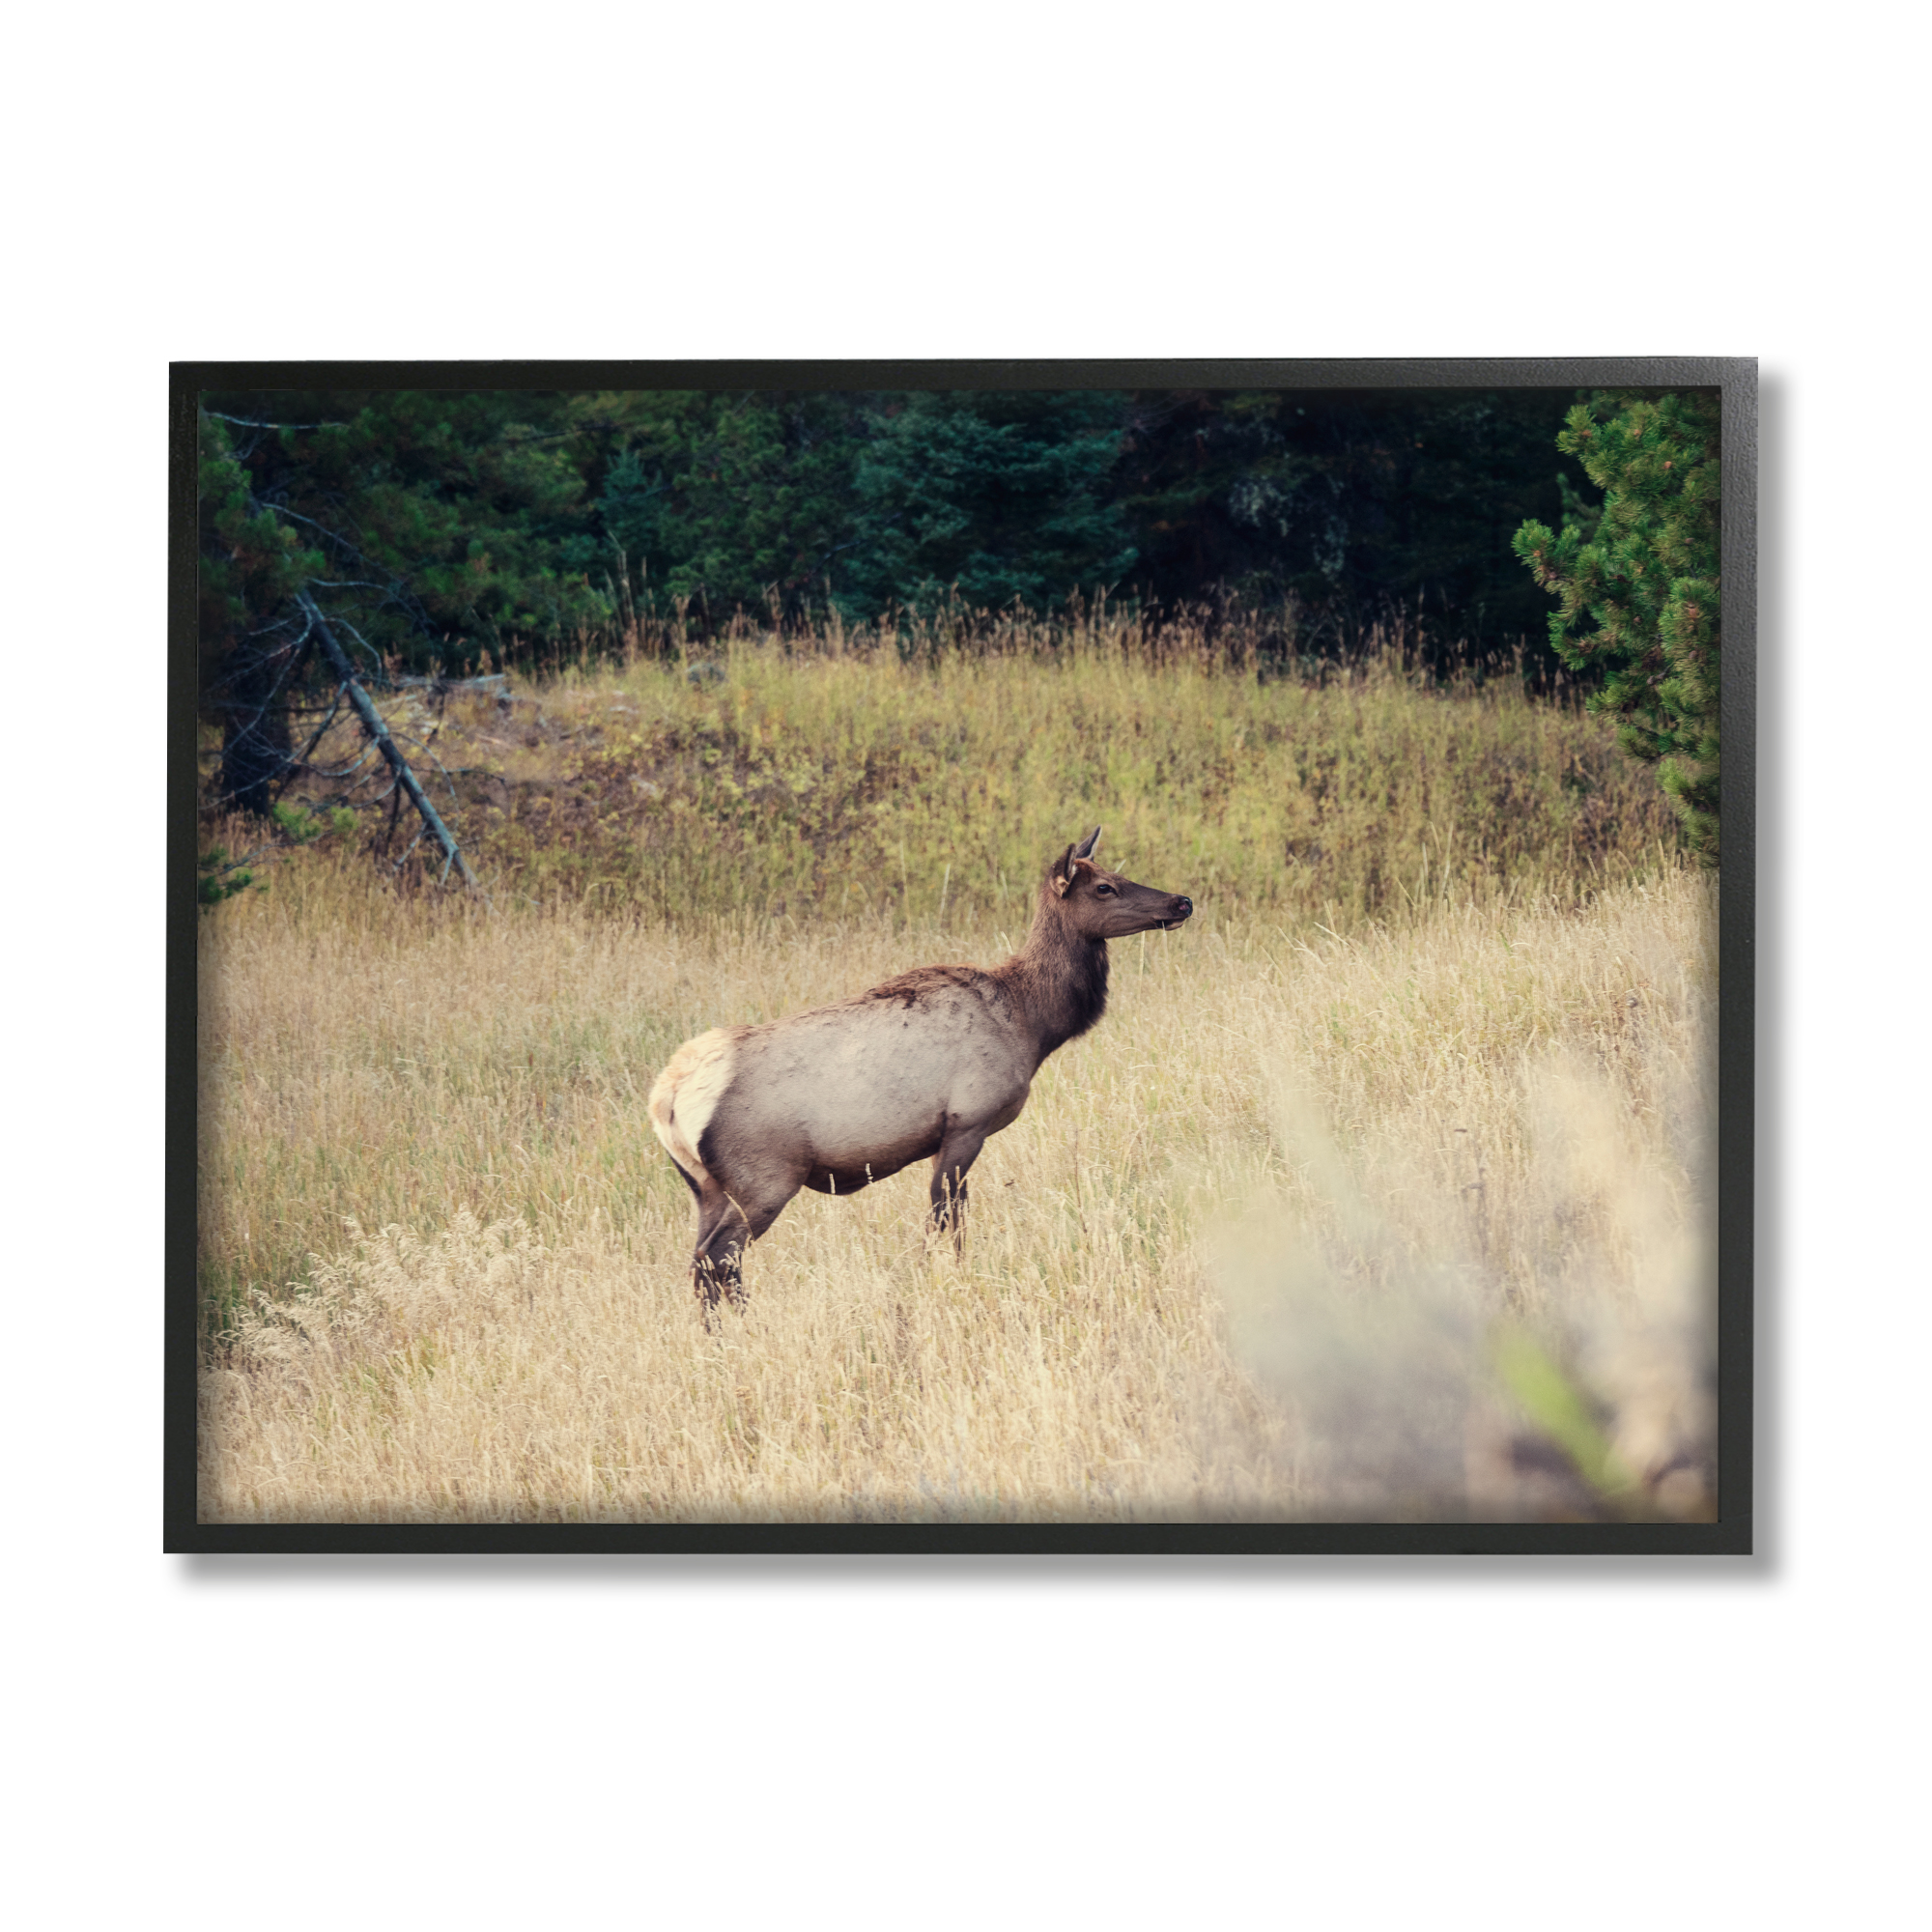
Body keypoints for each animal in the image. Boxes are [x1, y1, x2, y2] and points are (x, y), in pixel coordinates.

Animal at [648, 828, 1192, 1311]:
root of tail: (667, 1098)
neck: (1032, 1023)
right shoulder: (968, 1122)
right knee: (718, 1259)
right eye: (1104, 887)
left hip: (705, 1186)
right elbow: (944, 1220)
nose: (1182, 902)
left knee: (700, 1261)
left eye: (1117, 872)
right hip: (764, 1178)